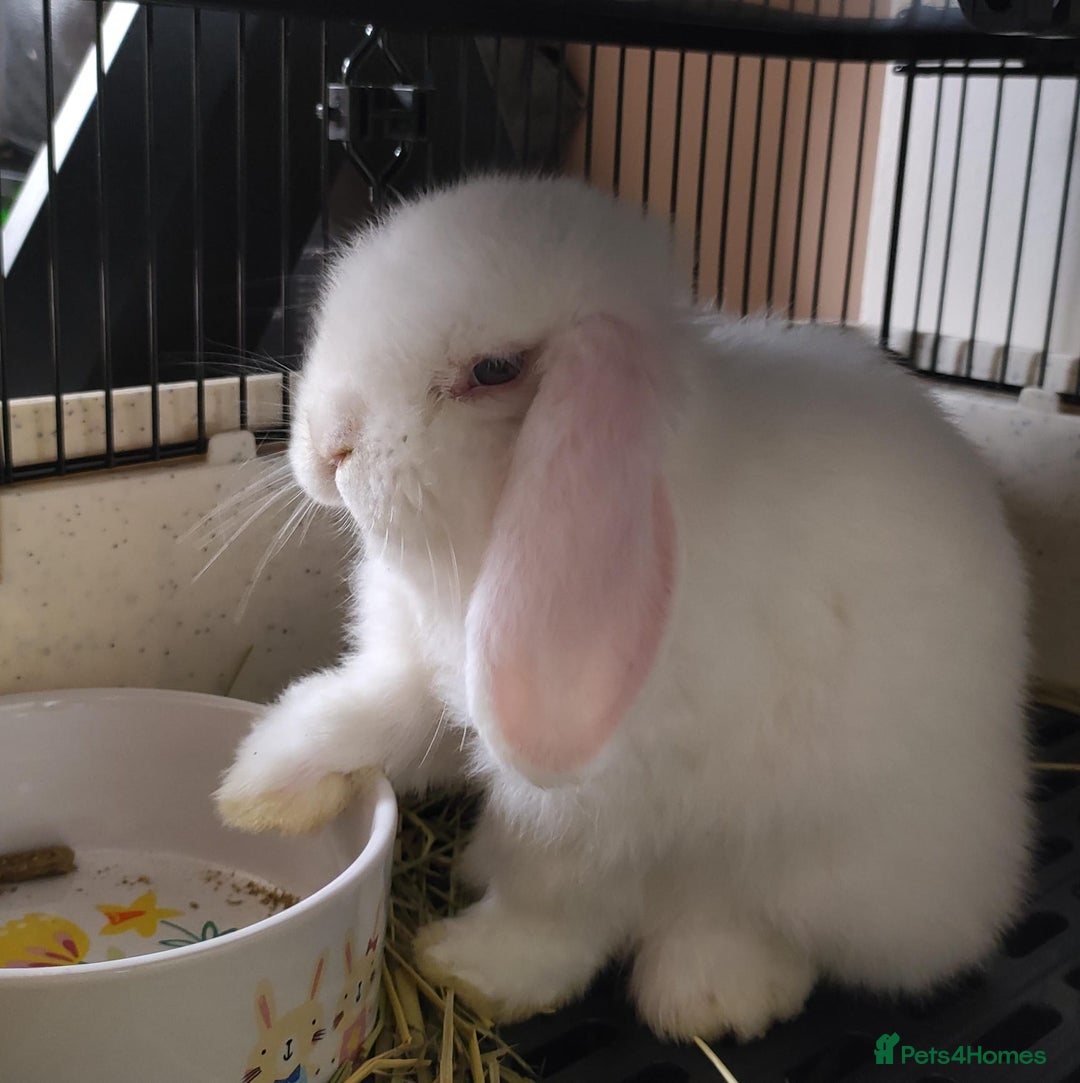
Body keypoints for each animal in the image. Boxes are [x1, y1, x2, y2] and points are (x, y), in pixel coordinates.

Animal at [216, 174, 1032, 1042]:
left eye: (494, 368)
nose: (326, 444)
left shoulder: (591, 804)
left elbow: (550, 898)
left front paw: (471, 966)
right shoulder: (430, 682)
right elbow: (352, 714)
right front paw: (257, 792)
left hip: (822, 860)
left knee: (744, 921)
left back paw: (712, 995)